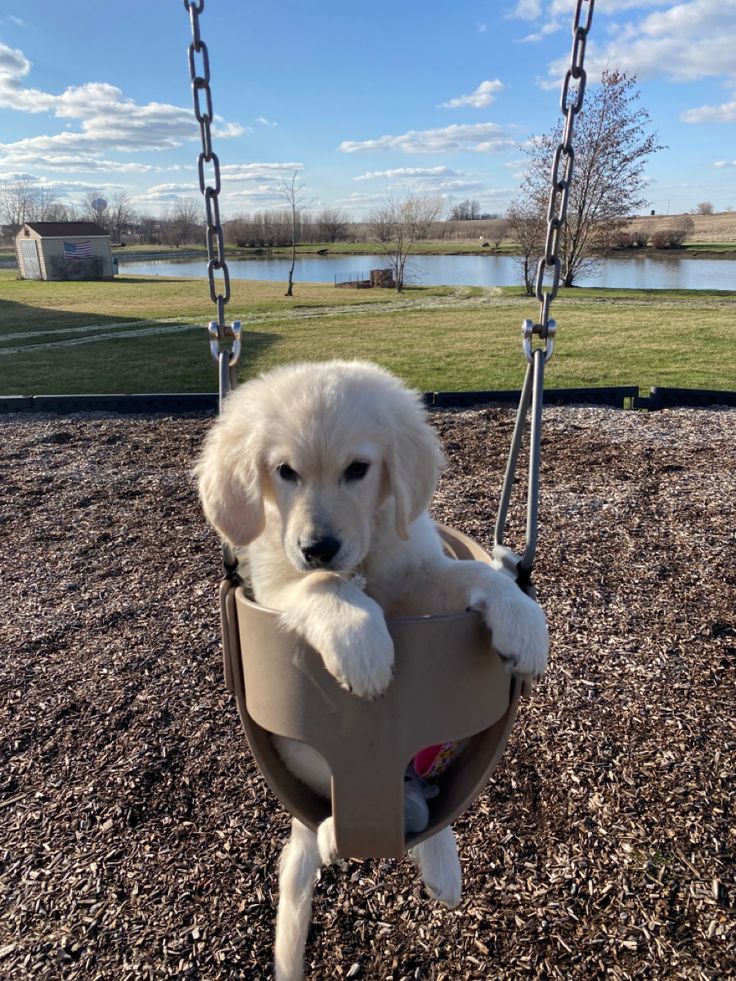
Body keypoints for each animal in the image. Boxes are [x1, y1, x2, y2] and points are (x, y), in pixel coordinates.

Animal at [196, 360, 548, 980]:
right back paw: (338, 836)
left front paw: (522, 619)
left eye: (358, 469)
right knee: (337, 819)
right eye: (285, 472)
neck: (363, 562)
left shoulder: (419, 574)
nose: (318, 546)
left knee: (426, 803)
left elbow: (472, 576)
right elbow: (320, 585)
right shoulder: (275, 582)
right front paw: (360, 641)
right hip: (303, 755)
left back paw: (441, 868)